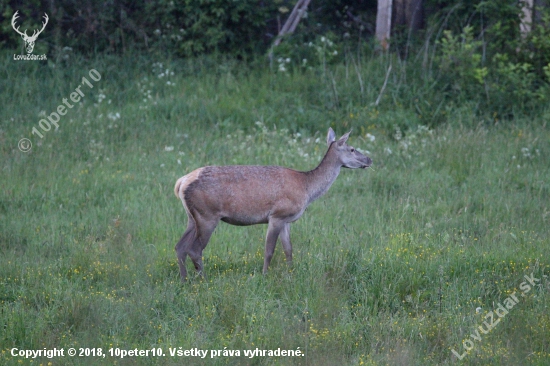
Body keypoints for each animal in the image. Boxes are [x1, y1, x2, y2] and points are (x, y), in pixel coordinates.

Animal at [176, 128, 376, 280]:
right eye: (352, 149)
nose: (369, 159)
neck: (307, 188)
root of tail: (181, 182)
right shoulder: (277, 215)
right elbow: (269, 250)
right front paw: (265, 275)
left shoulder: (287, 220)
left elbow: (288, 249)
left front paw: (291, 273)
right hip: (207, 215)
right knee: (195, 249)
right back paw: (202, 279)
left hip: (192, 217)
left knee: (180, 246)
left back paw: (184, 279)